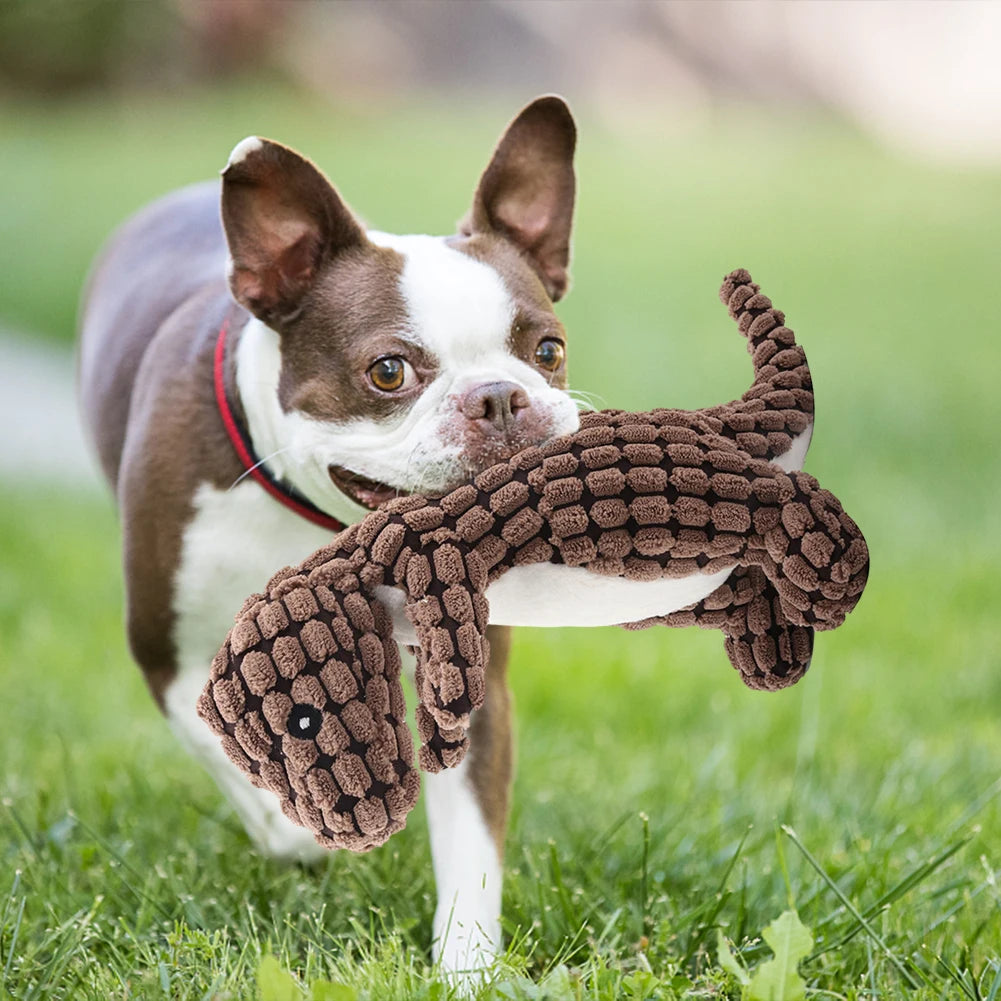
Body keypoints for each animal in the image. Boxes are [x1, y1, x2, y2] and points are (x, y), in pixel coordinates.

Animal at [76, 95, 580, 976]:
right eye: (388, 371)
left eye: (546, 350)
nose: (499, 397)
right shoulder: (171, 655)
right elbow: (244, 759)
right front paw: (302, 830)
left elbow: (472, 842)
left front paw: (468, 968)